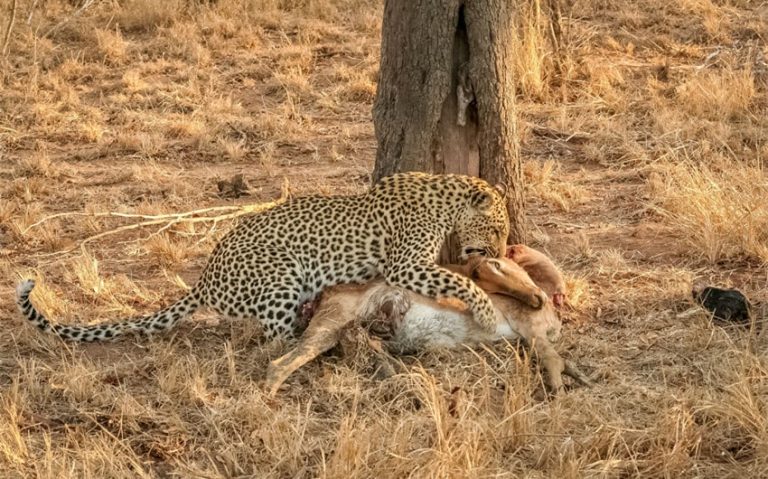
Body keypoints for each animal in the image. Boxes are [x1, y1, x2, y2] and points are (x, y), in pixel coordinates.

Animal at [15, 171, 510, 344]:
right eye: (498, 230)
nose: (504, 253)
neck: (446, 197)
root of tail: (204, 279)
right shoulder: (405, 265)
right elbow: (458, 280)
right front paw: (486, 313)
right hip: (281, 273)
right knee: (275, 338)